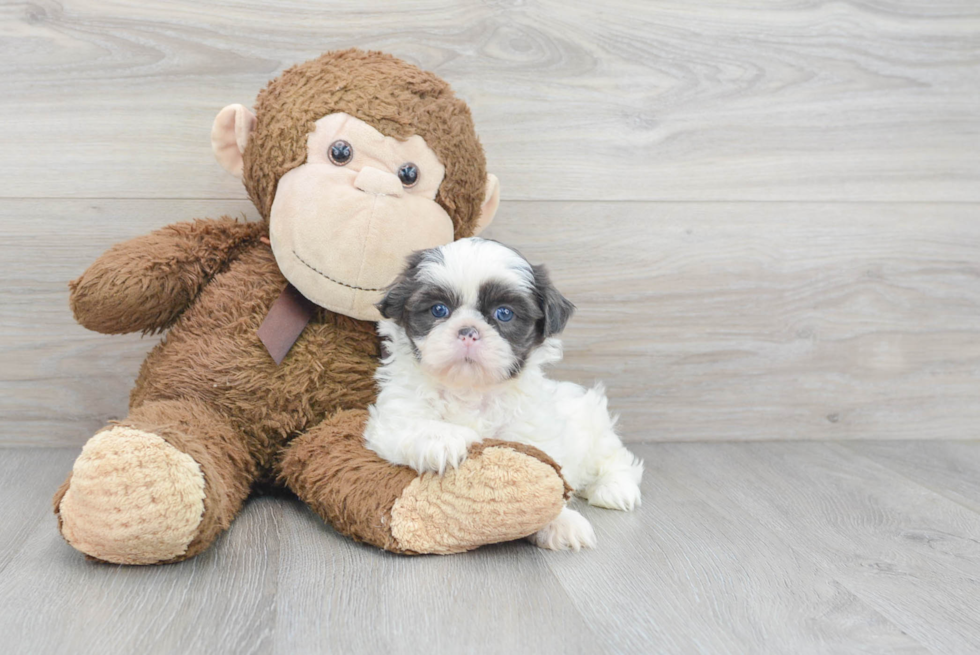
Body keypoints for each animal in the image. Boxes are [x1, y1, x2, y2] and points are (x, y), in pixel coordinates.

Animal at [362, 238, 644, 552]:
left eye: (504, 313)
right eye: (438, 310)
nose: (468, 331)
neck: (470, 389)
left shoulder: (531, 434)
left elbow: (550, 479)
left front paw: (560, 521)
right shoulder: (395, 415)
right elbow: (415, 425)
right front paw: (443, 440)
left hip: (594, 425)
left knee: (615, 458)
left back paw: (615, 488)